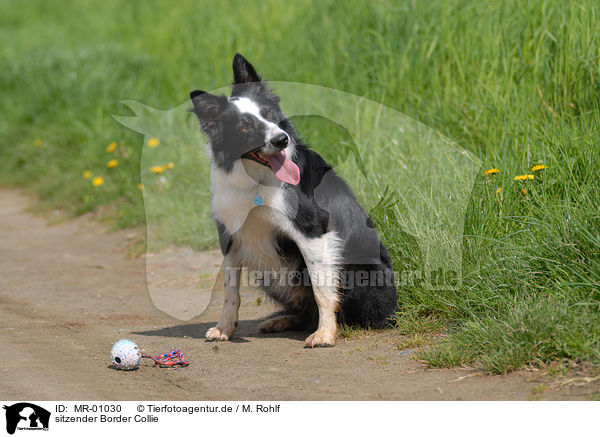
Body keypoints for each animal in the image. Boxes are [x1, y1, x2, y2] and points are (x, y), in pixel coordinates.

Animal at [192, 53, 398, 348]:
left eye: (268, 114)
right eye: (244, 127)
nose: (281, 139)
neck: (255, 180)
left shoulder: (313, 230)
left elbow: (322, 288)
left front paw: (325, 334)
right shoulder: (231, 235)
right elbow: (230, 291)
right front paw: (224, 329)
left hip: (360, 269)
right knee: (302, 311)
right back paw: (281, 320)